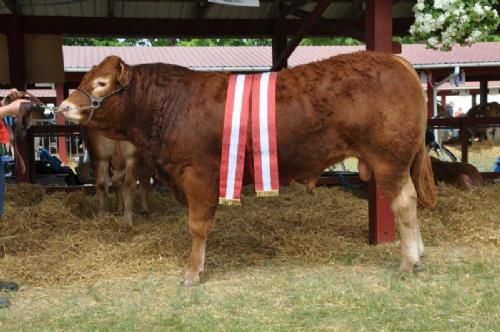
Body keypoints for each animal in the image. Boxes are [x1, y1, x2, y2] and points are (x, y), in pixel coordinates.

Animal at [60, 52, 436, 286]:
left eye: (101, 83)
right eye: (86, 77)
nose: (63, 106)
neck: (170, 105)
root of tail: (394, 58)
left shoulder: (197, 175)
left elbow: (197, 226)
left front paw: (192, 273)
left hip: (388, 160)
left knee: (404, 204)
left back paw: (407, 263)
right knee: (411, 202)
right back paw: (418, 255)